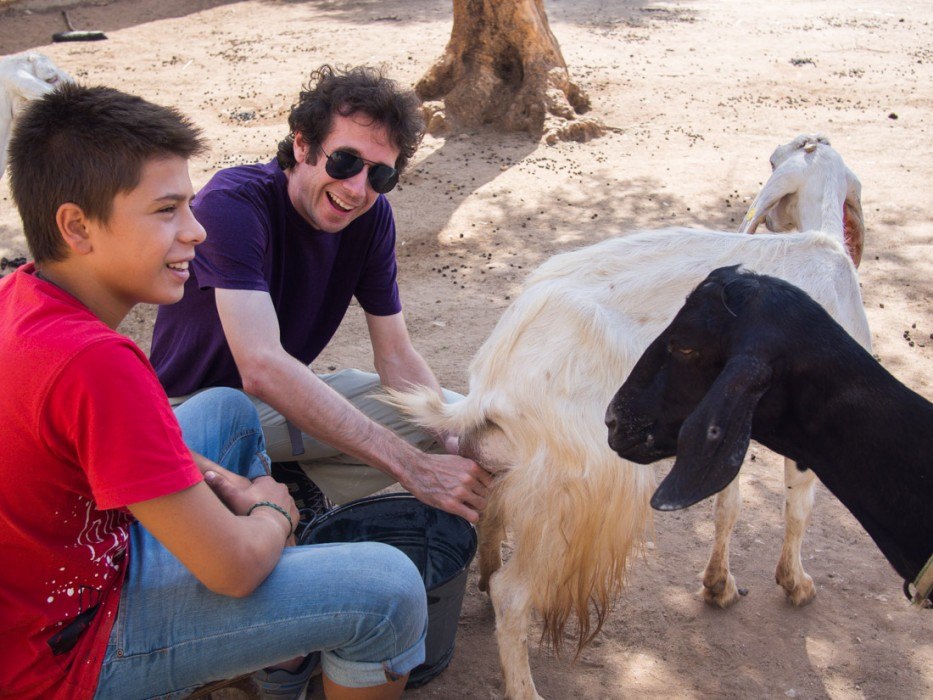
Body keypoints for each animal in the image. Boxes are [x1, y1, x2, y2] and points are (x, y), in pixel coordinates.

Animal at [384, 134, 868, 696]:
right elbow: (798, 506)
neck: (821, 245)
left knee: (486, 517)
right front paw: (796, 584)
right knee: (512, 594)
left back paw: (482, 578)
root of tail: (491, 383)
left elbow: (729, 504)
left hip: (509, 466)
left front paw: (719, 586)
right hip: (575, 488)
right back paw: (524, 684)